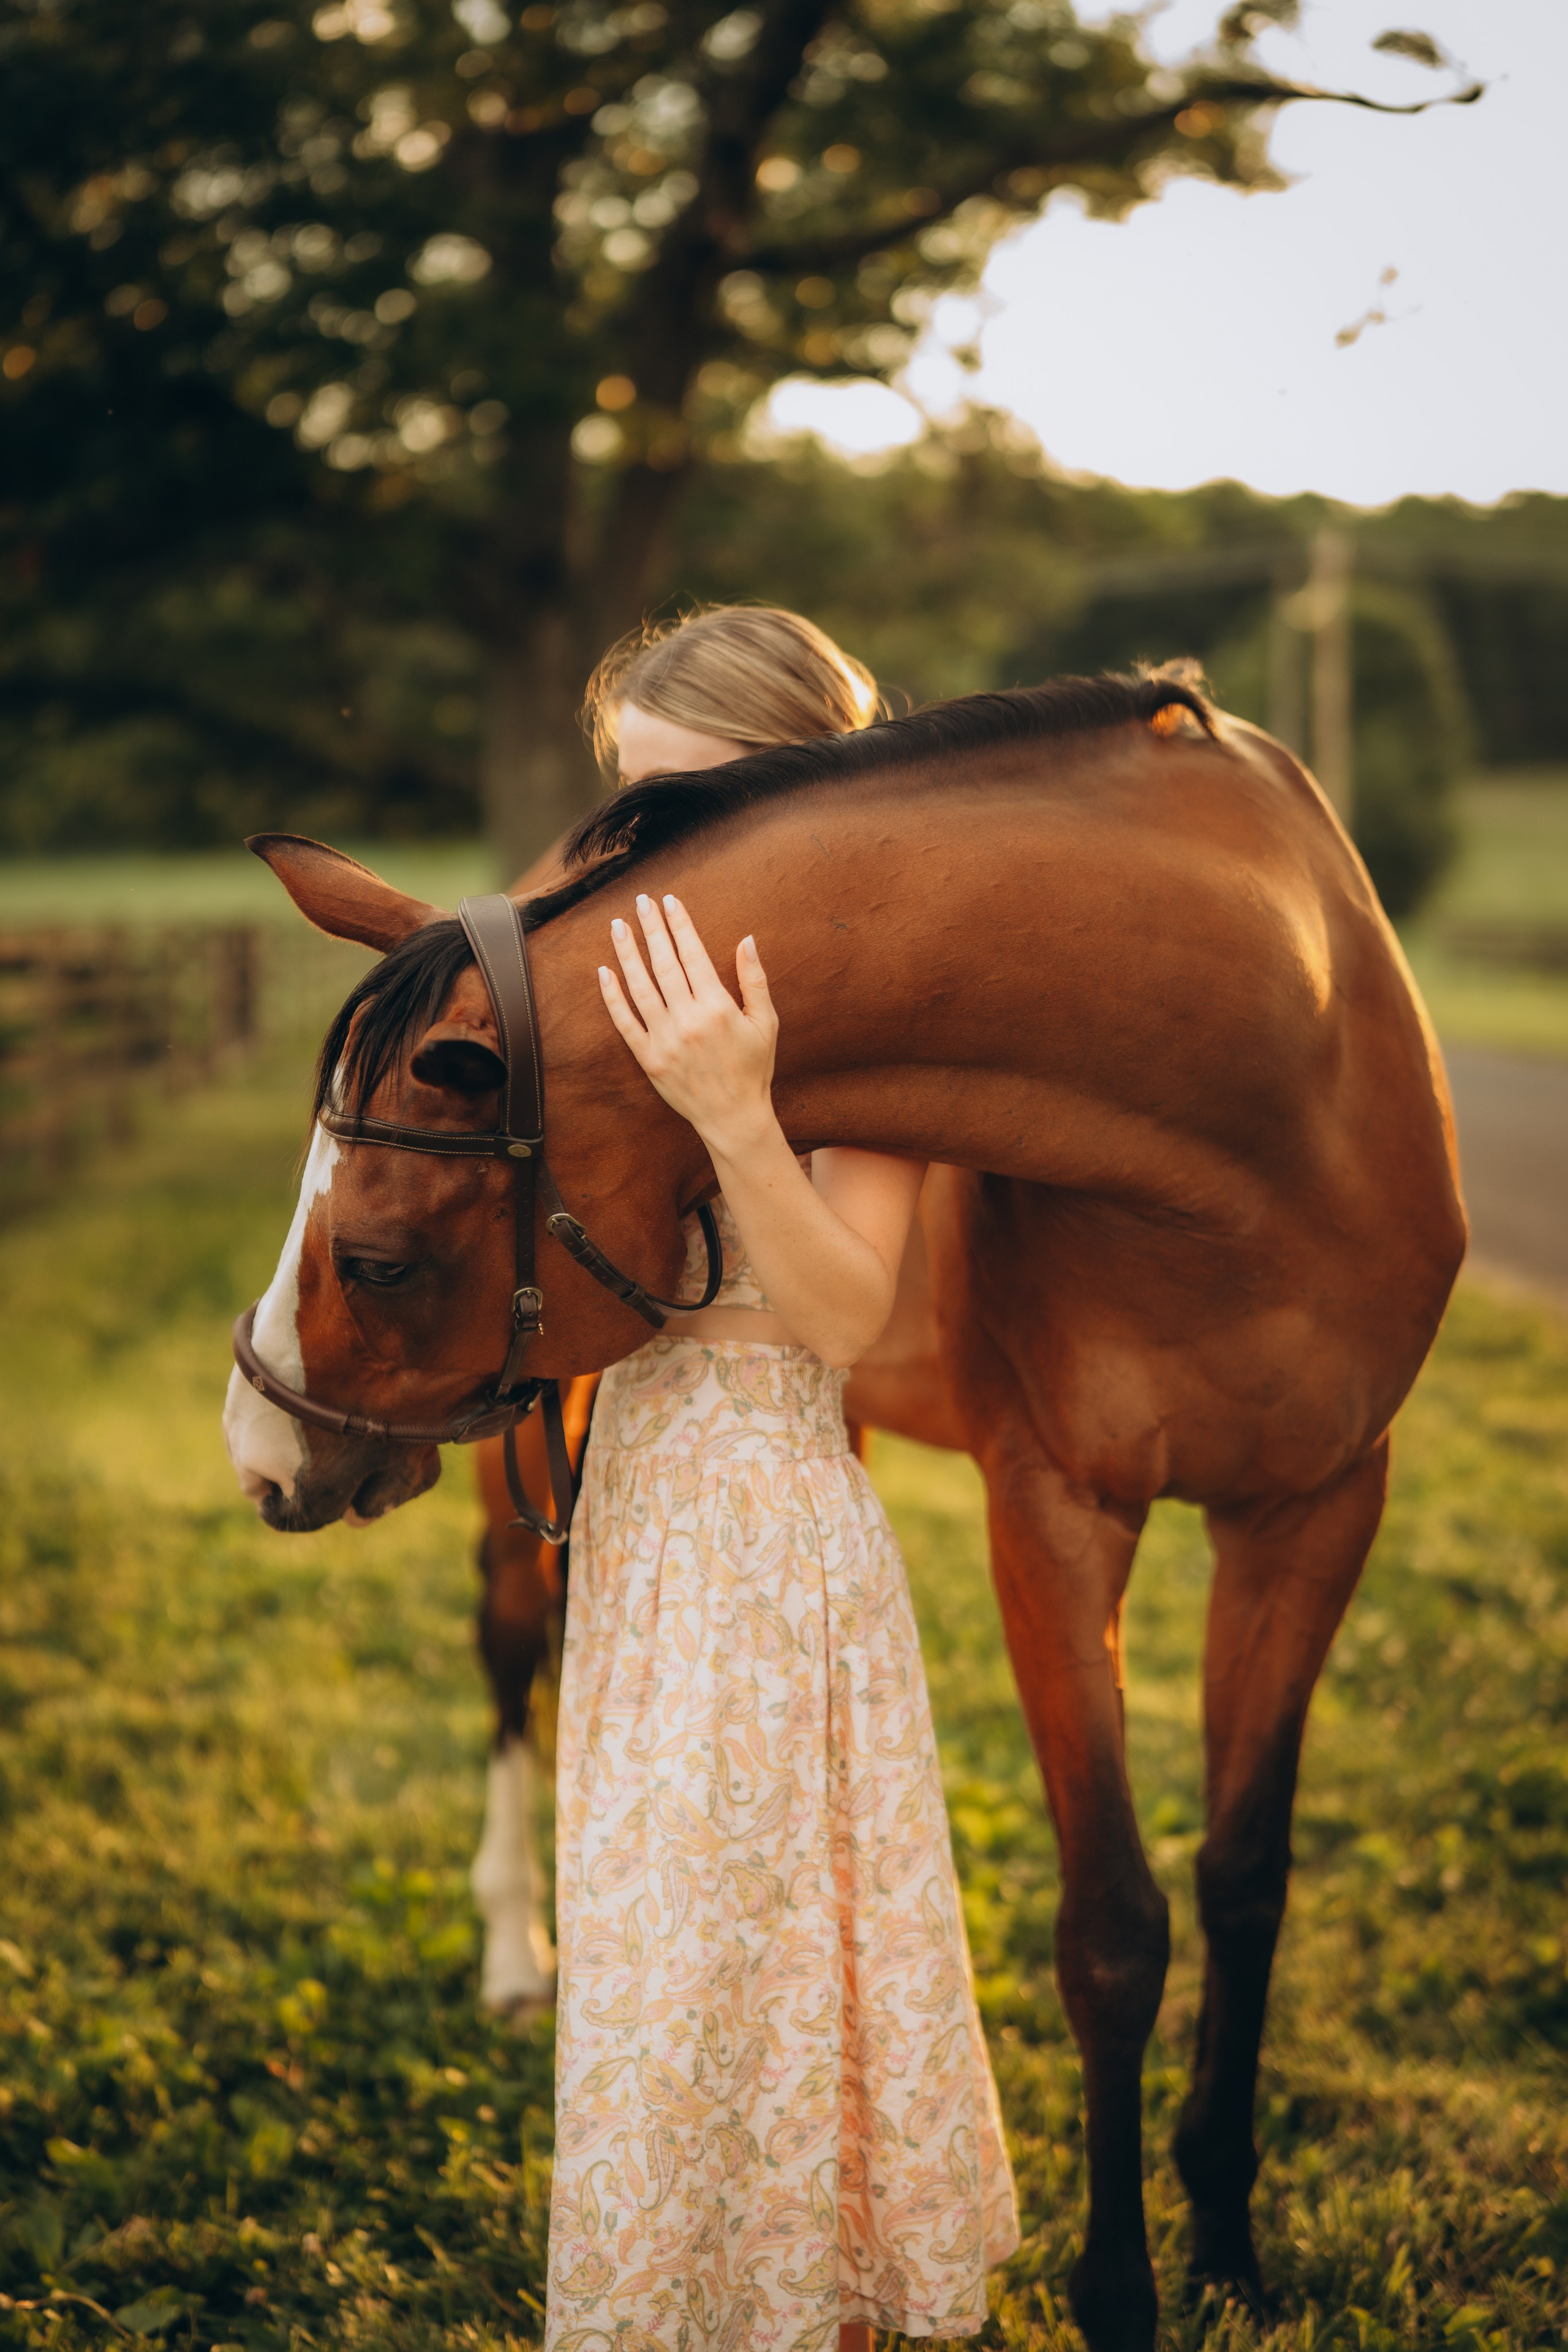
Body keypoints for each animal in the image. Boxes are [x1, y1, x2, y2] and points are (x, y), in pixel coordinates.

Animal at [222, 671, 1465, 2351]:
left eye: (376, 1258)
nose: (256, 1443)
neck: (1273, 1083)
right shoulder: (1054, 1511)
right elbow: (1114, 1929)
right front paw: (1120, 2289)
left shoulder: (1319, 1505)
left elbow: (1242, 1880)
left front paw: (1224, 2245)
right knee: (508, 1646)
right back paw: (512, 1942)